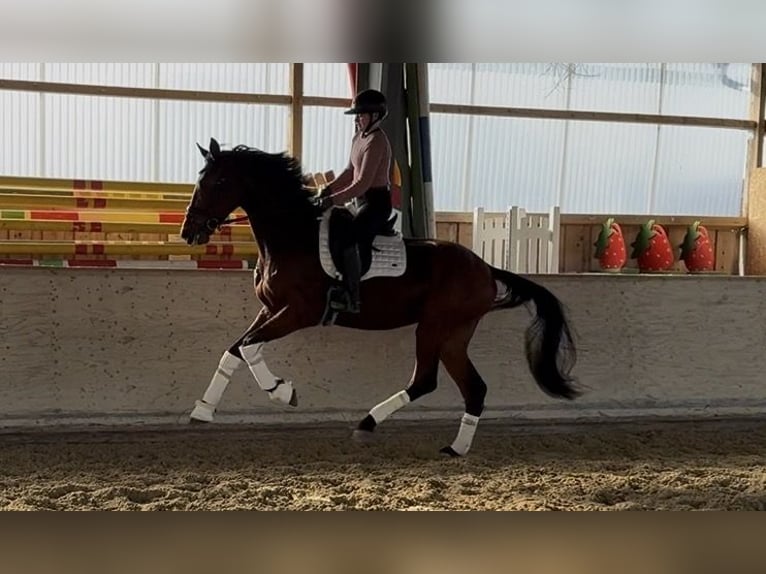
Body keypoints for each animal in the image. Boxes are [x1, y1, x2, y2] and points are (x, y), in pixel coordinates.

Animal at [180, 137, 579, 457]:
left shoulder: (299, 312)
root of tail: (484, 267)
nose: (189, 231)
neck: (292, 239)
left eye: (218, 182)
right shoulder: (270, 310)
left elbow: (249, 349)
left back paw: (368, 424)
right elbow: (235, 351)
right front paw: (203, 410)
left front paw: (282, 391)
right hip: (454, 334)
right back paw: (456, 449)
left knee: (426, 381)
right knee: (473, 388)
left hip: (433, 327)